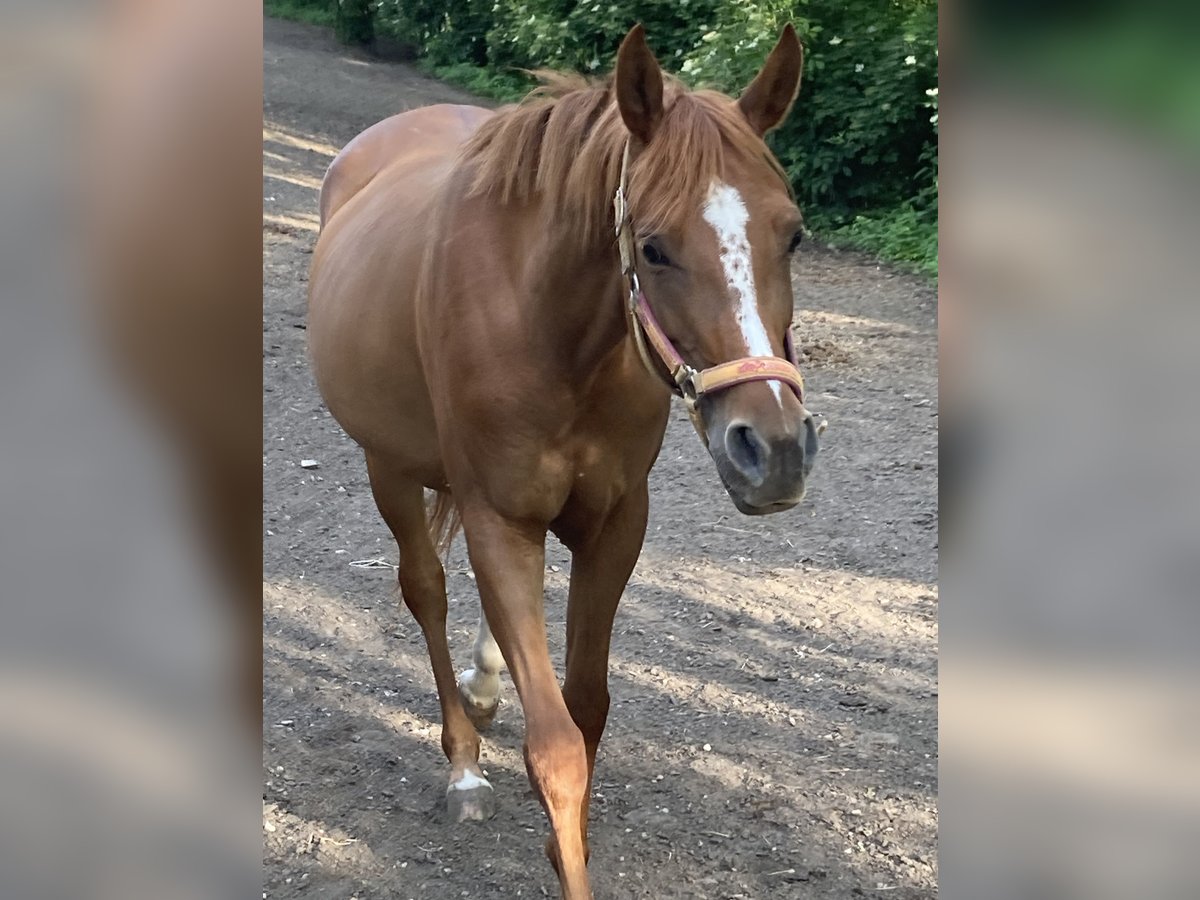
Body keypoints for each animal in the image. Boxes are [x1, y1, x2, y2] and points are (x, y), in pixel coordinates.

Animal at [304, 24, 820, 897]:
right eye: (654, 248)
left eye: (793, 234)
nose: (775, 449)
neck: (550, 324)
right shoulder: (499, 521)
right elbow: (555, 745)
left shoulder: (613, 524)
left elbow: (588, 703)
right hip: (389, 469)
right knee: (426, 592)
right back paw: (464, 766)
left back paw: (485, 685)